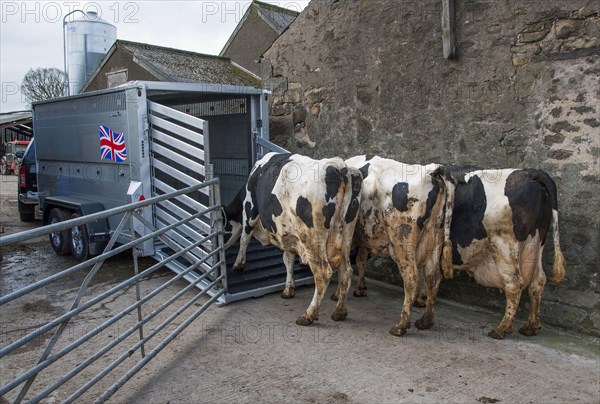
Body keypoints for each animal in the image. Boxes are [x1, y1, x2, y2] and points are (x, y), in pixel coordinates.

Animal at [220, 152, 360, 326]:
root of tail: (338, 166)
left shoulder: (249, 211)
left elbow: (244, 239)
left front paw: (238, 264)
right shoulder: (289, 234)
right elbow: (288, 259)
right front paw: (288, 289)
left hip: (312, 239)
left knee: (323, 273)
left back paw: (309, 315)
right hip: (347, 233)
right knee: (346, 271)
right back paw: (340, 312)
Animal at [342, 156, 454, 336]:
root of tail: (431, 170)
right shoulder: (365, 235)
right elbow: (361, 260)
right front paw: (361, 289)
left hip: (403, 241)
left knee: (412, 278)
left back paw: (401, 326)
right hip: (435, 239)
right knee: (433, 278)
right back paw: (425, 321)